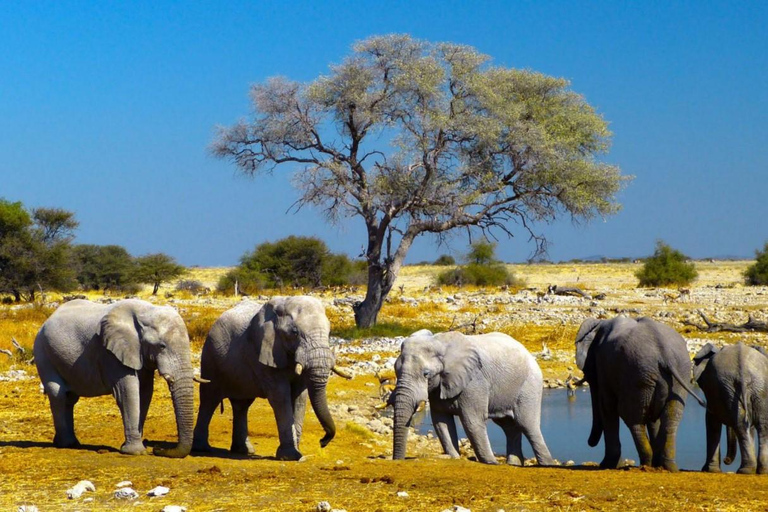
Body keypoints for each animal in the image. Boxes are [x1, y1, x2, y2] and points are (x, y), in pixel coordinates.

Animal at [35, 298, 198, 458]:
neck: (146, 311)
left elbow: (145, 392)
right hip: (43, 354)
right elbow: (128, 392)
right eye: (162, 346)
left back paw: (71, 443)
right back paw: (66, 444)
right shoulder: (111, 353)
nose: (157, 449)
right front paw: (136, 452)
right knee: (58, 394)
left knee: (69, 398)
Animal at [192, 296, 348, 460]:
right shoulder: (264, 353)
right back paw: (202, 449)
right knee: (209, 399)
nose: (322, 442)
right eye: (294, 332)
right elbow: (280, 397)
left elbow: (299, 398)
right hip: (210, 357)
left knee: (242, 405)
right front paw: (291, 456)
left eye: (329, 332)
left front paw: (298, 454)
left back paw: (245, 451)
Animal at [390, 330, 552, 466]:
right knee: (509, 427)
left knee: (527, 425)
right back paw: (514, 465)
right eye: (395, 370)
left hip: (530, 385)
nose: (398, 461)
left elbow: (472, 421)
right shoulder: (438, 387)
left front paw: (491, 463)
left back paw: (546, 465)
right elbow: (441, 422)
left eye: (426, 374)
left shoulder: (474, 382)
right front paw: (454, 457)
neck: (440, 343)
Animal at [572, 316, 704, 472]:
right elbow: (653, 418)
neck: (600, 324)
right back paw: (667, 466)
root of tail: (665, 355)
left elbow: (607, 406)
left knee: (633, 419)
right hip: (677, 373)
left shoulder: (603, 365)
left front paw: (607, 465)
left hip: (636, 375)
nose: (589, 443)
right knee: (671, 417)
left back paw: (646, 464)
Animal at [688, 342, 768, 474]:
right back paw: (760, 470)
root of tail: (743, 371)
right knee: (761, 426)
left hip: (739, 387)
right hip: (754, 388)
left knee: (741, 425)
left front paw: (710, 470)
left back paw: (745, 470)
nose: (726, 460)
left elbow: (711, 421)